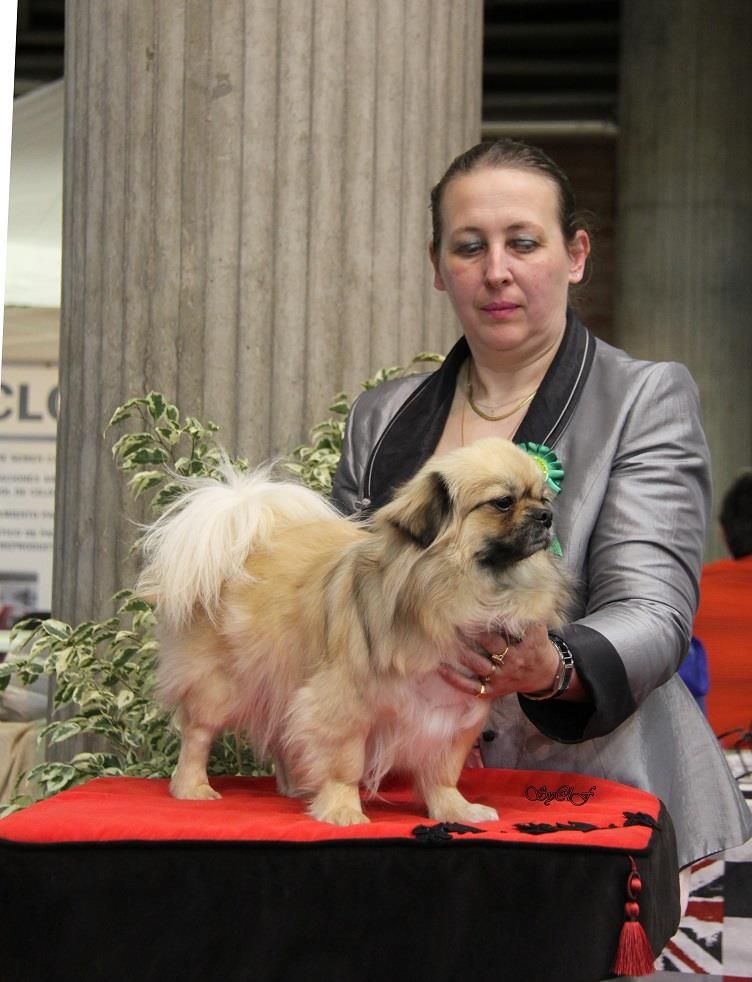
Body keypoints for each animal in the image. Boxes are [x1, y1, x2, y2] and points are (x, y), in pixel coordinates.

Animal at [138, 438, 568, 832]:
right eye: (503, 502)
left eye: (542, 496)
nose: (547, 515)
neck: (461, 589)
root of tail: (244, 544)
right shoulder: (344, 702)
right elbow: (344, 763)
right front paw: (342, 810)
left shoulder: (450, 713)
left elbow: (442, 771)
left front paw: (455, 810)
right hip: (219, 685)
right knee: (197, 734)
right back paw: (193, 788)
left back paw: (294, 788)